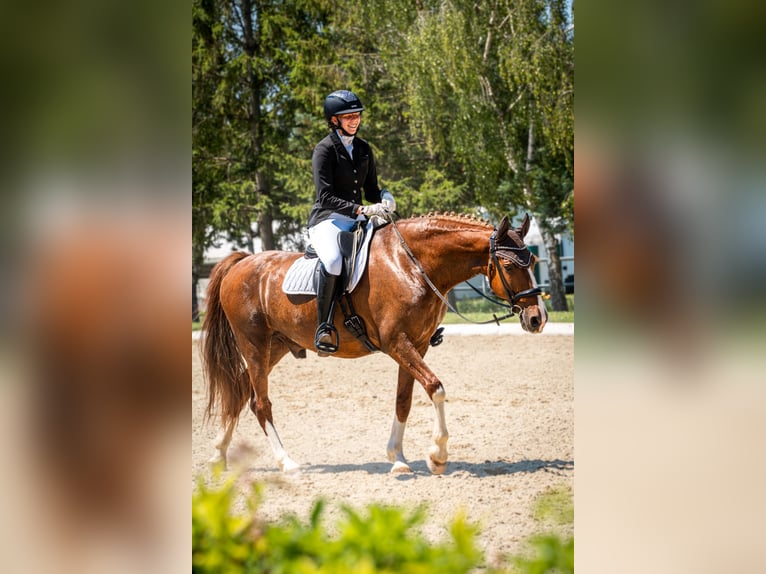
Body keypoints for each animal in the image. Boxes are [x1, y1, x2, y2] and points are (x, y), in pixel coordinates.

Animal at [201, 212, 548, 474]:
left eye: (532, 262)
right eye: (509, 266)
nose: (538, 318)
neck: (412, 264)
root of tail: (242, 263)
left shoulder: (416, 345)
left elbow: (403, 400)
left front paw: (398, 458)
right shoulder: (398, 344)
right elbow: (435, 388)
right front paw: (437, 455)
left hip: (277, 346)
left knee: (242, 392)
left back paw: (218, 454)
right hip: (254, 345)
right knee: (261, 403)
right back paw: (286, 462)